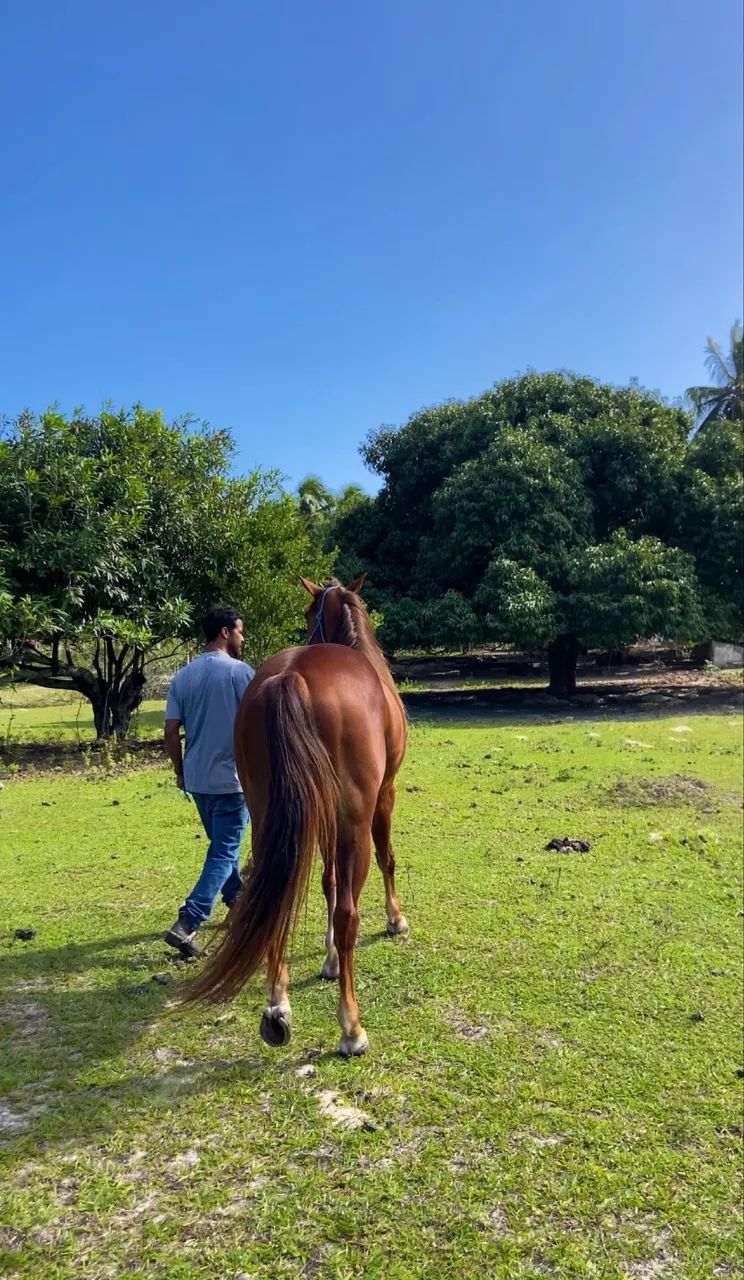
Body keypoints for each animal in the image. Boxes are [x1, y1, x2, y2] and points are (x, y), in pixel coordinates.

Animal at [186, 575, 408, 1057]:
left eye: (308, 613)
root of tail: (292, 676)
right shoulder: (384, 795)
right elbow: (385, 860)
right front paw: (395, 919)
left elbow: (325, 882)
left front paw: (327, 959)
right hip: (354, 821)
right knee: (348, 912)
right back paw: (351, 1028)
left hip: (268, 816)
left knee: (275, 898)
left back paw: (277, 1005)